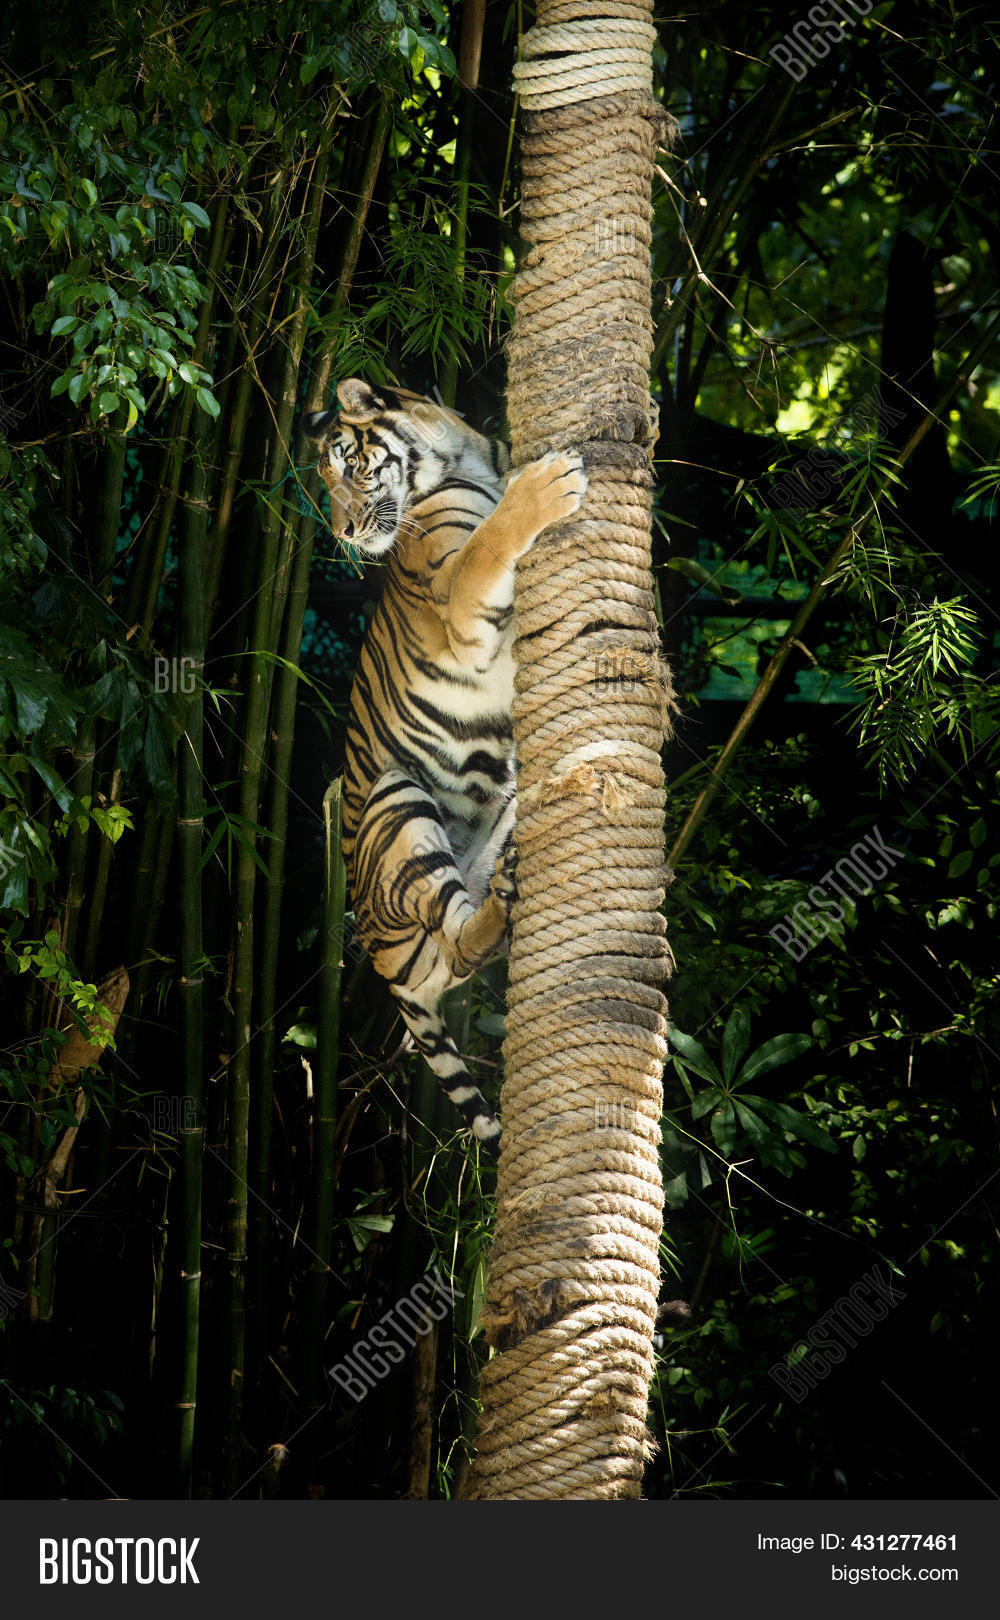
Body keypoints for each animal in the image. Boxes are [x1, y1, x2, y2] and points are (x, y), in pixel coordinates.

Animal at [304, 378, 587, 1147]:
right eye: (325, 480)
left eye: (345, 468)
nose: (343, 534)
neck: (467, 456)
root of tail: (378, 959)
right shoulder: (460, 598)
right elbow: (492, 542)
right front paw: (549, 486)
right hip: (396, 799)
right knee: (454, 944)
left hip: (509, 799)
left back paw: (512, 885)